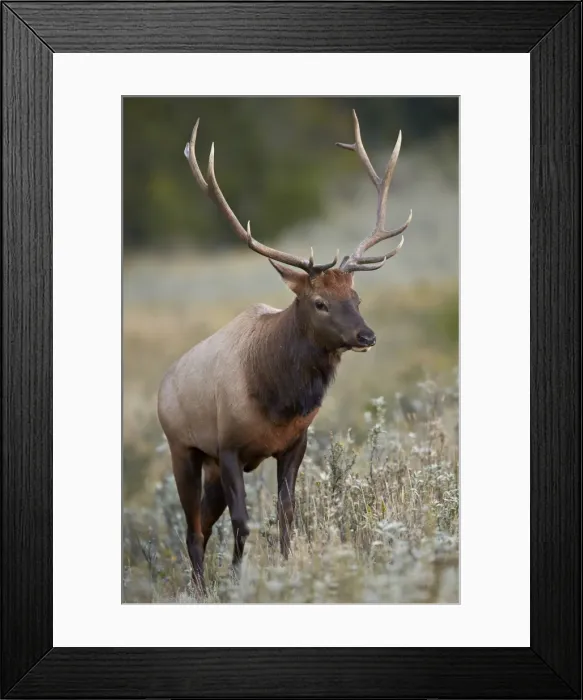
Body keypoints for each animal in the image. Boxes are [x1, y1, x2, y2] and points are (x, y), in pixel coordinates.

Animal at [157, 110, 412, 592]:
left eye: (357, 297)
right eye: (320, 302)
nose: (366, 336)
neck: (277, 399)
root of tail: (163, 385)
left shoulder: (295, 443)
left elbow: (286, 515)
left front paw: (284, 568)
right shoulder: (228, 446)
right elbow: (243, 522)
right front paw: (238, 580)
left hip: (210, 467)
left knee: (203, 524)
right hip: (184, 448)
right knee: (194, 530)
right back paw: (200, 589)